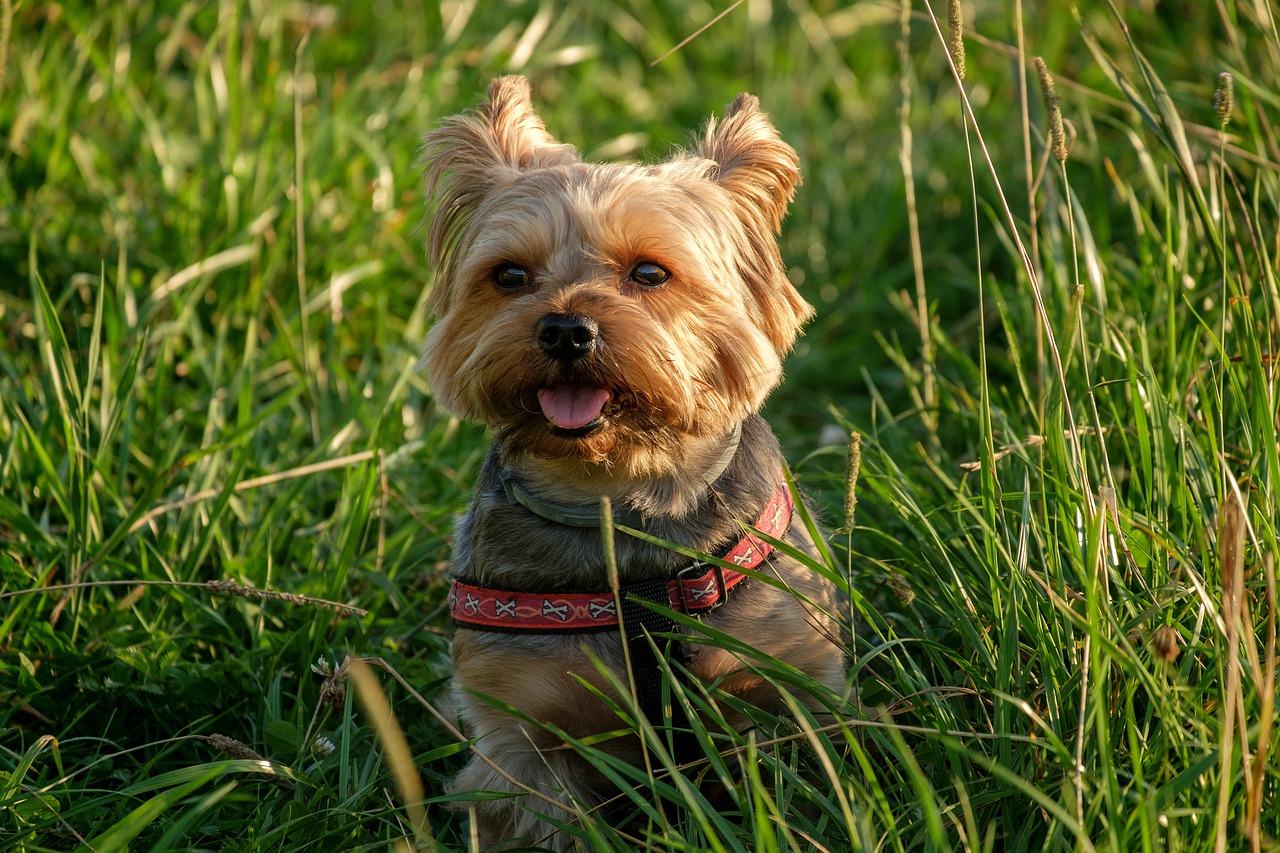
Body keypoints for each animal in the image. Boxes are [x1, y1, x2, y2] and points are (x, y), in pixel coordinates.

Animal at [417, 76, 839, 845]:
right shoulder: (520, 732)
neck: (621, 497)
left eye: (649, 272)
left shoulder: (788, 683)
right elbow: (544, 816)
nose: (564, 328)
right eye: (509, 275)